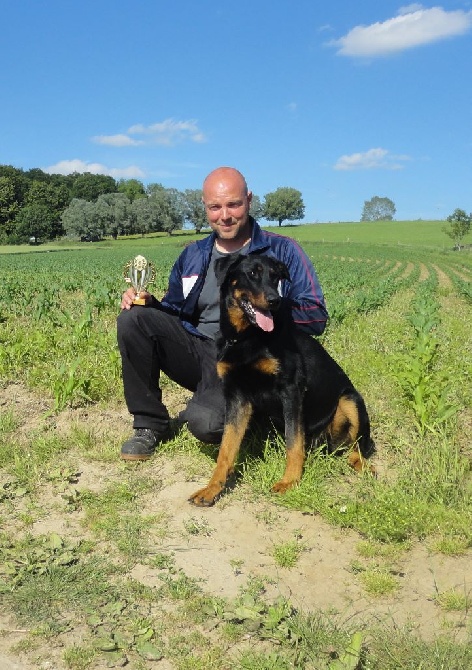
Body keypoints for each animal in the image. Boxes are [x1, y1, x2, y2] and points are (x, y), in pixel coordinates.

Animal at [189, 255, 376, 506]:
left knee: (360, 443)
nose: (275, 301)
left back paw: (361, 463)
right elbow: (226, 449)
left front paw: (289, 482)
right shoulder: (237, 398)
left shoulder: (291, 391)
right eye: (252, 273)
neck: (246, 337)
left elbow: (293, 443)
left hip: (350, 399)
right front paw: (212, 488)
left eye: (276, 277)